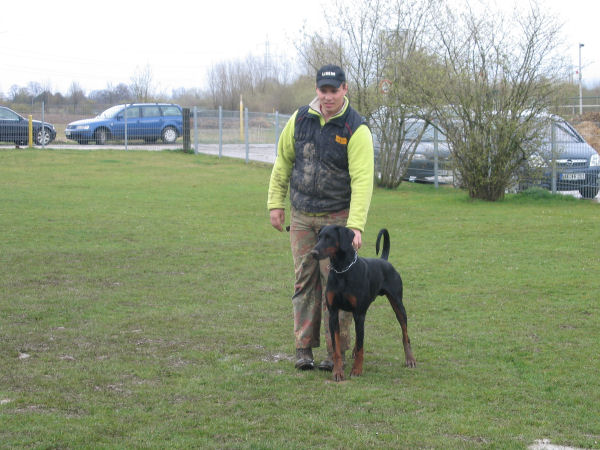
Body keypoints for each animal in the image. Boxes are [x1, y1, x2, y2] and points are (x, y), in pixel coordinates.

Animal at [312, 225, 414, 380]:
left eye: (330, 237)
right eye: (319, 237)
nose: (313, 252)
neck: (342, 270)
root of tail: (384, 260)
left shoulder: (359, 313)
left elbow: (361, 346)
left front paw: (357, 370)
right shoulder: (333, 314)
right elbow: (336, 347)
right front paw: (337, 371)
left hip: (398, 305)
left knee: (405, 333)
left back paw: (410, 359)